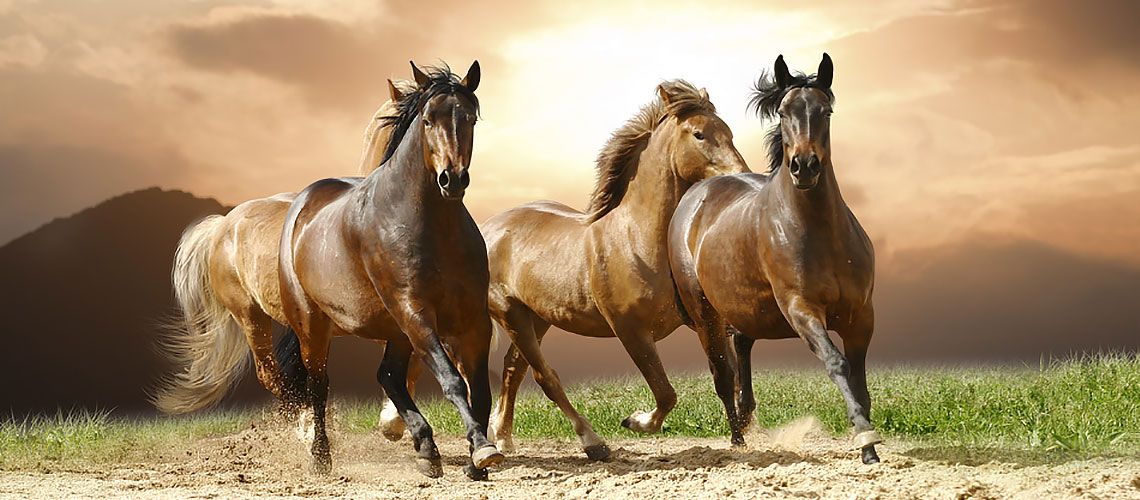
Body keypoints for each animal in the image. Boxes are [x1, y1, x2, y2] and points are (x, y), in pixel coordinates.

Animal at [277, 61, 503, 480]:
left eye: (470, 119)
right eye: (428, 120)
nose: (452, 179)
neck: (432, 227)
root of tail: (303, 204)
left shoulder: (473, 320)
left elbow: (479, 390)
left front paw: (476, 460)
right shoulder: (416, 312)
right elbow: (452, 381)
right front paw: (482, 449)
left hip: (396, 330)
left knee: (388, 376)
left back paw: (426, 448)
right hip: (315, 326)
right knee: (319, 384)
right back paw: (321, 458)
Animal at [481, 80, 751, 461]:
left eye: (728, 132)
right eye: (699, 134)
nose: (741, 175)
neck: (637, 238)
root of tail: (488, 228)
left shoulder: (704, 320)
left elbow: (724, 377)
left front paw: (740, 437)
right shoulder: (630, 331)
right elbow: (666, 393)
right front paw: (635, 421)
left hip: (537, 318)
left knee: (512, 369)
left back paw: (502, 437)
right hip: (511, 315)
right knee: (544, 377)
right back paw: (593, 442)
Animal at [668, 53, 883, 464]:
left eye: (826, 110)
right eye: (783, 112)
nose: (804, 166)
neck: (819, 233)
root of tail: (696, 192)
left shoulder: (860, 315)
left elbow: (860, 378)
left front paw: (868, 444)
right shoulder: (801, 309)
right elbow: (837, 363)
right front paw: (865, 437)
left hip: (745, 307)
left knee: (742, 349)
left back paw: (745, 415)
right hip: (706, 315)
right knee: (722, 375)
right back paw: (738, 440)